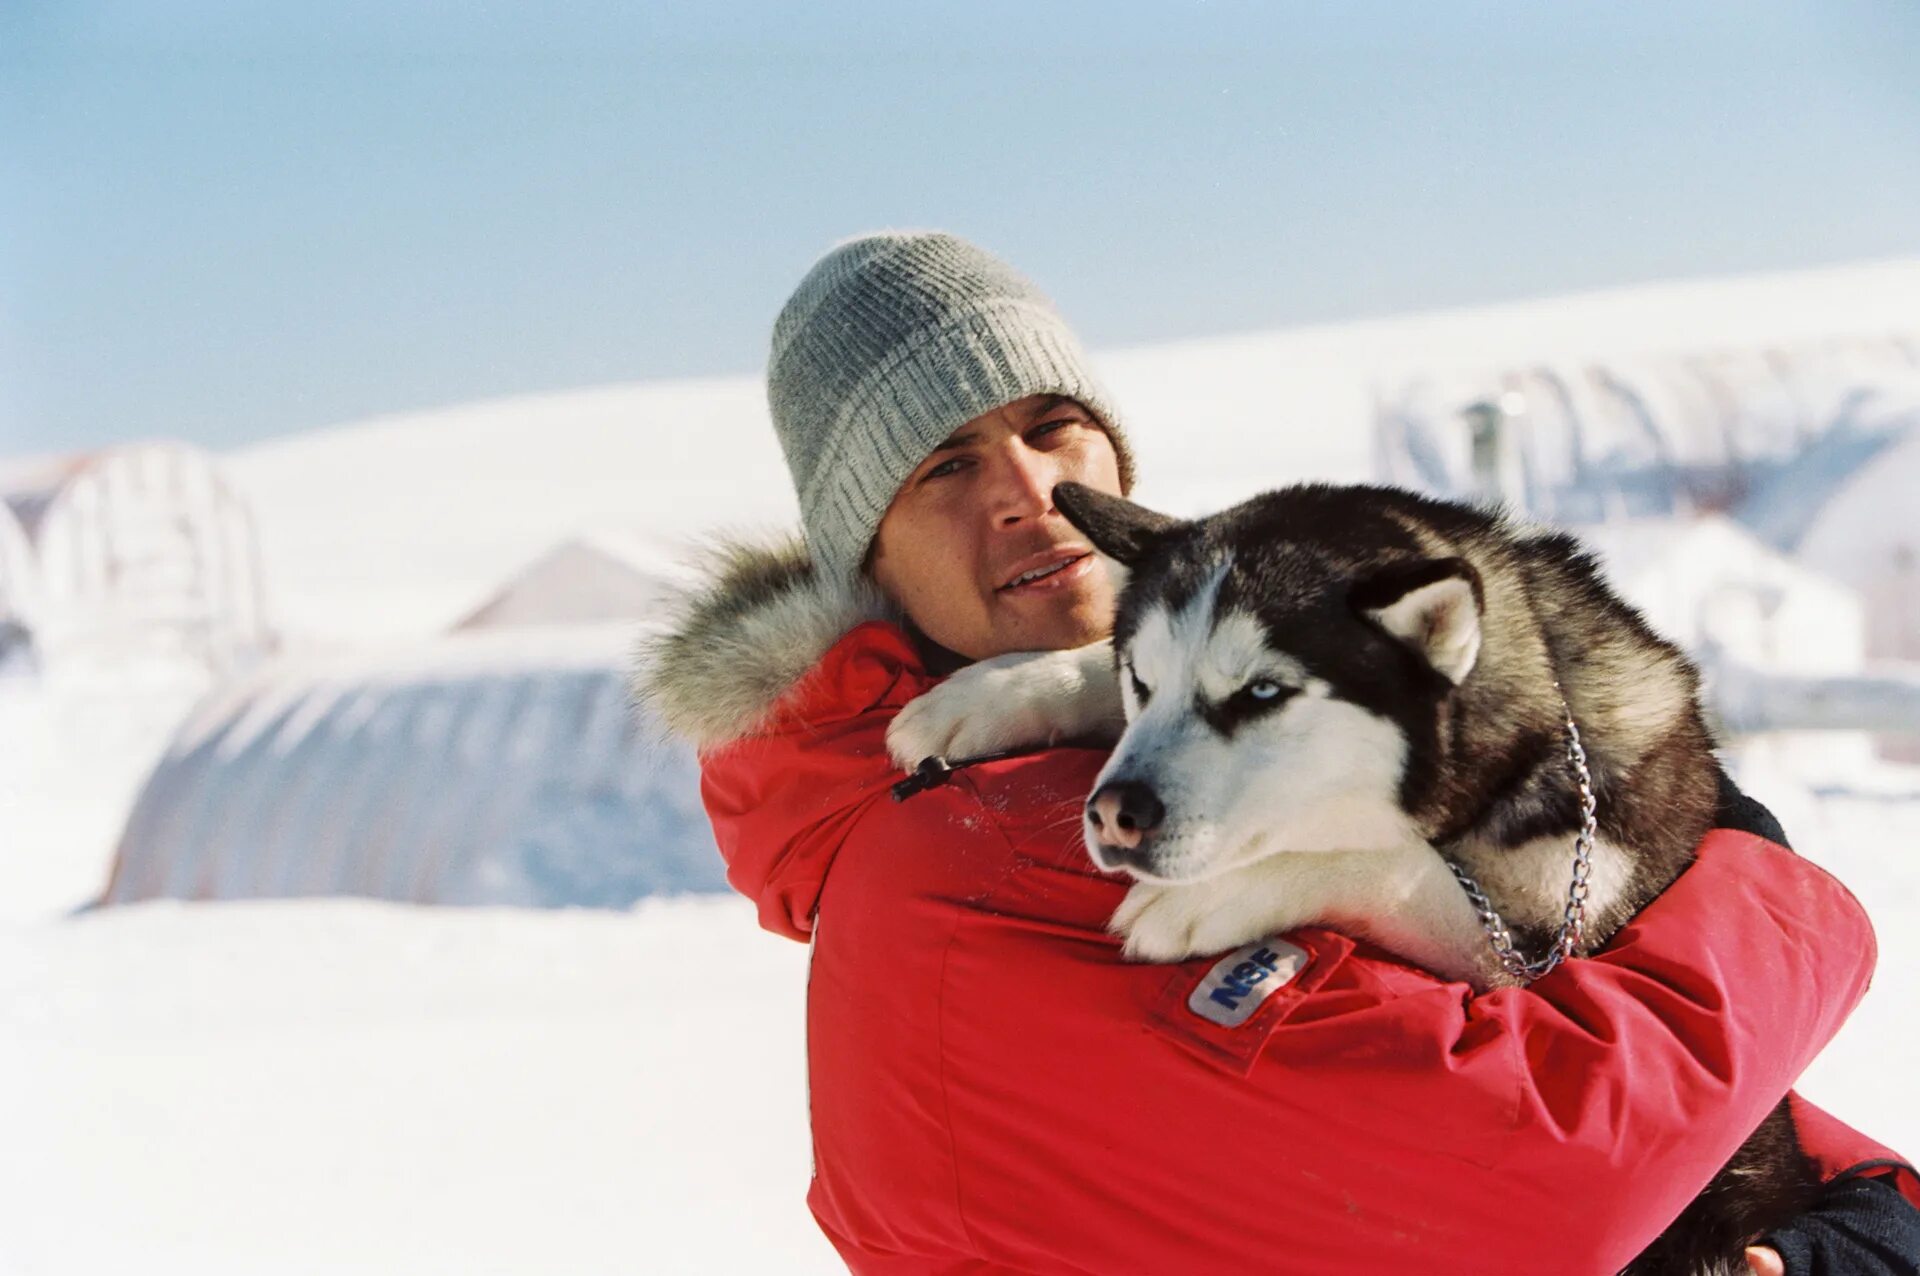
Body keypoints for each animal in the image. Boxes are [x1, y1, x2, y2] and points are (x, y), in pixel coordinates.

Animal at [887, 479, 1812, 1274]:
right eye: (1141, 681)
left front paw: (1211, 894)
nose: (1115, 812)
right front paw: (998, 689)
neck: (1536, 723)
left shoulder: (1540, 945)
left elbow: (1383, 854)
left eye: (1263, 692)